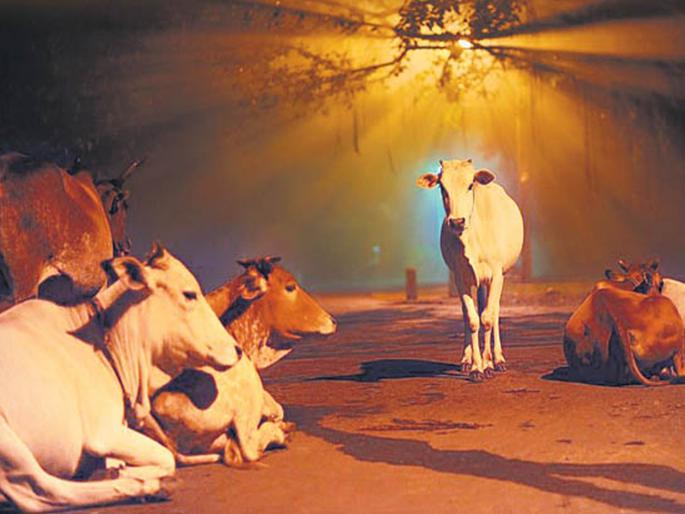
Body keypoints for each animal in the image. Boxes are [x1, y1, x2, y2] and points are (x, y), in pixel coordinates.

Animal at [0, 242, 241, 512]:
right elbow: (167, 458)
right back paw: (150, 488)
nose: (237, 350)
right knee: (39, 491)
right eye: (189, 294)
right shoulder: (104, 433)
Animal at [417, 159, 524, 381]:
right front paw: (476, 367)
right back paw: (467, 360)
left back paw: (497, 359)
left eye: (469, 185)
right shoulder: (461, 278)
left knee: (494, 311)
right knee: (470, 314)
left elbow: (488, 318)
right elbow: (473, 319)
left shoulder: (496, 275)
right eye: (442, 187)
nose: (457, 221)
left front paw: (488, 363)